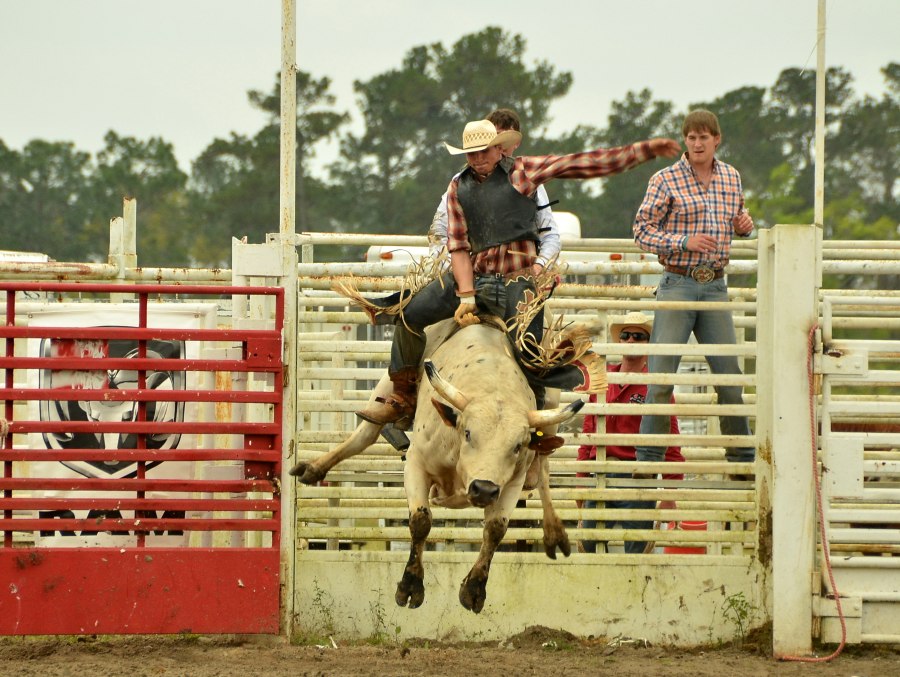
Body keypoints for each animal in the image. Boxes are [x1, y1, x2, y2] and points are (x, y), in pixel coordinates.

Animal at [288, 316, 584, 612]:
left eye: (518, 446)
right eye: (468, 433)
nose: (484, 490)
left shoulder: (511, 482)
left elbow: (495, 530)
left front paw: (474, 590)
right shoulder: (416, 463)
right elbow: (421, 521)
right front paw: (410, 587)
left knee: (542, 471)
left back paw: (555, 533)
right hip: (382, 390)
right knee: (365, 434)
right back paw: (312, 468)